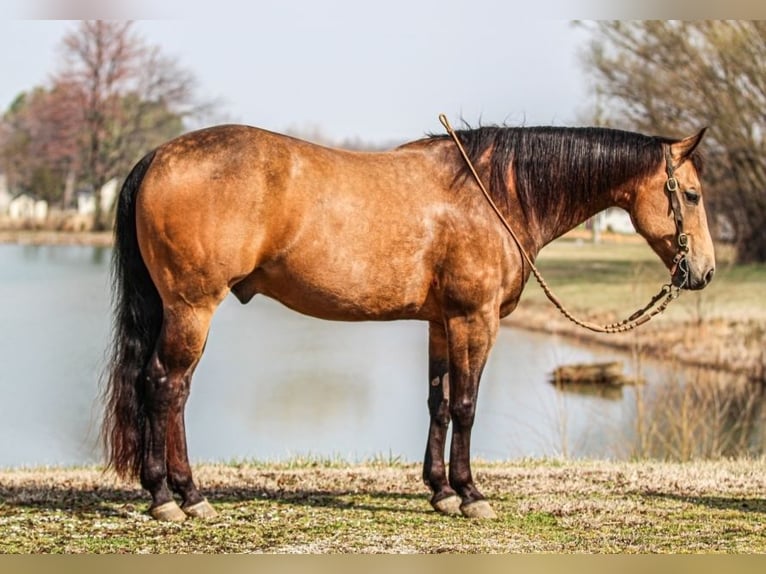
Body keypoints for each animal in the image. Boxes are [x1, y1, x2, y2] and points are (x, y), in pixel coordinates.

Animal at [102, 120, 715, 521]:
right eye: (690, 194)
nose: (704, 272)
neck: (495, 194)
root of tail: (158, 157)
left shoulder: (442, 323)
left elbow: (438, 403)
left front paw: (439, 490)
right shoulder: (474, 320)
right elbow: (466, 405)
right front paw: (470, 495)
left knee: (165, 388)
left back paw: (172, 493)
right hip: (192, 308)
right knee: (166, 387)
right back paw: (176, 497)